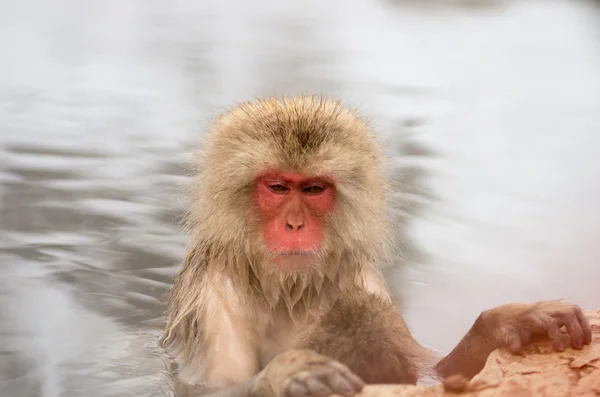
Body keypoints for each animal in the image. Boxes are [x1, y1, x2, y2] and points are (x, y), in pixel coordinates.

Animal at [162, 96, 592, 396]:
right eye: (279, 187)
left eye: (314, 189)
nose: (294, 224)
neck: (288, 291)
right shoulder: (211, 292)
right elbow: (206, 387)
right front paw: (285, 374)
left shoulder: (360, 274)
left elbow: (429, 372)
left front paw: (508, 321)